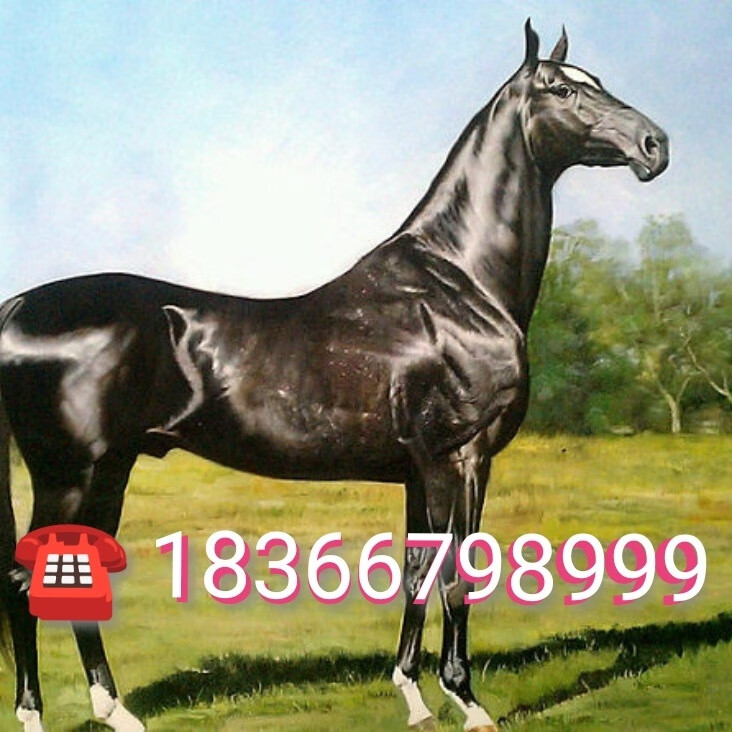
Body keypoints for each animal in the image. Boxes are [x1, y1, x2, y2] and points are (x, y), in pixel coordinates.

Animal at [0, 20, 668, 732]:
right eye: (564, 89)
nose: (654, 144)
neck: (459, 286)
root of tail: (18, 307)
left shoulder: (418, 469)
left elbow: (416, 571)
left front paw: (413, 696)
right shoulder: (460, 458)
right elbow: (457, 575)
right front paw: (467, 700)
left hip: (109, 469)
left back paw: (115, 709)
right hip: (71, 473)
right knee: (23, 581)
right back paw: (38, 714)